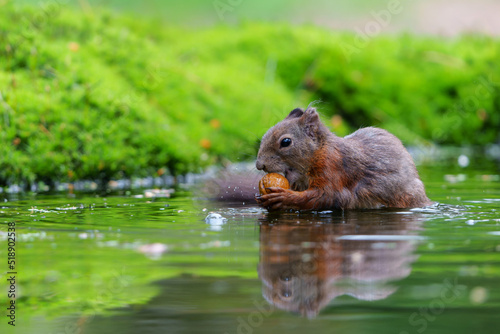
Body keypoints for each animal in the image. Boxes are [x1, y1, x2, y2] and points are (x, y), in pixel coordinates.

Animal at [256, 107, 432, 210]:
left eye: (286, 142)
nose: (259, 165)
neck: (319, 152)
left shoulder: (333, 168)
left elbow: (326, 196)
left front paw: (284, 197)